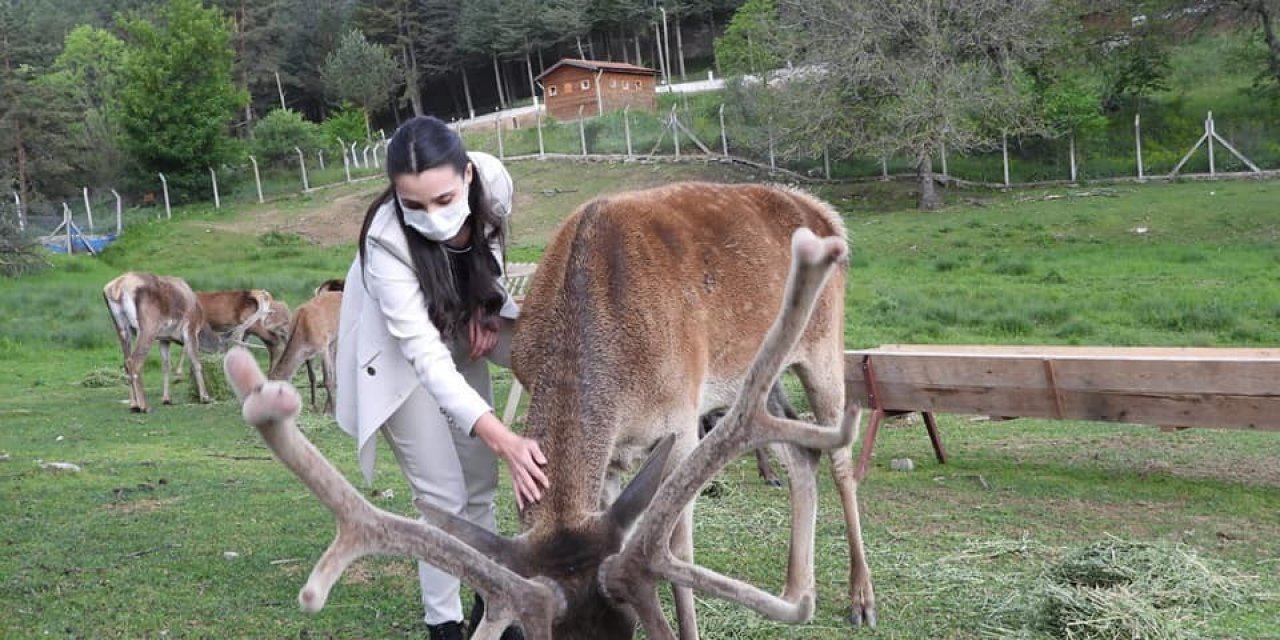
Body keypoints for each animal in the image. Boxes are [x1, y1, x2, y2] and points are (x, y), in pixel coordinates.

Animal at [104, 271, 212, 412]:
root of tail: (116, 289)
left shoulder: (164, 339)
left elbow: (166, 366)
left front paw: (167, 399)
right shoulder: (190, 330)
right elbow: (196, 363)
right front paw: (205, 398)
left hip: (121, 329)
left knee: (126, 362)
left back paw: (134, 405)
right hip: (147, 328)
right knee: (135, 361)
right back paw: (144, 406)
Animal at [225, 181, 875, 640]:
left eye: (629, 630)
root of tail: (827, 213)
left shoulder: (682, 423)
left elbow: (679, 555)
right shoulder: (617, 453)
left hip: (821, 345)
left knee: (838, 453)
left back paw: (859, 599)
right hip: (757, 378)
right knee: (800, 452)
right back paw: (796, 589)